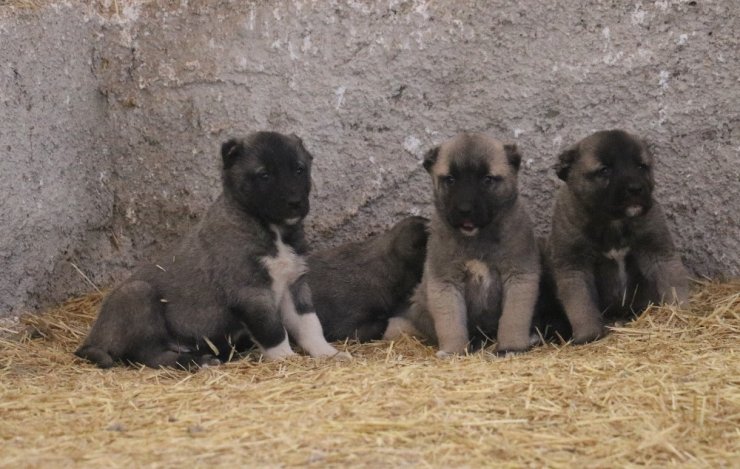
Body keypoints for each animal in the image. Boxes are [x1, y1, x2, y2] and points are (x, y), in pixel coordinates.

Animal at [76, 130, 348, 368]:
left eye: (299, 169)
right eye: (264, 175)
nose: (295, 203)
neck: (271, 229)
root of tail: (92, 339)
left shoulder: (295, 284)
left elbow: (309, 324)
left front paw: (327, 353)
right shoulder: (251, 292)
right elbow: (272, 331)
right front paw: (285, 359)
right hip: (136, 293)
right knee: (152, 355)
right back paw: (198, 362)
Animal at [384, 132, 540, 354]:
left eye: (487, 179)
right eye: (450, 179)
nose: (465, 210)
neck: (477, 238)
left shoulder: (519, 275)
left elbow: (513, 318)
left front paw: (511, 346)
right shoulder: (446, 281)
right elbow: (450, 321)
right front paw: (453, 351)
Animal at [548, 130, 692, 342]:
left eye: (641, 166)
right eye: (605, 170)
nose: (635, 188)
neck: (613, 222)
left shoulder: (658, 250)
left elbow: (672, 282)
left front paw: (679, 315)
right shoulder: (573, 266)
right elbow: (581, 304)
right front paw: (588, 335)